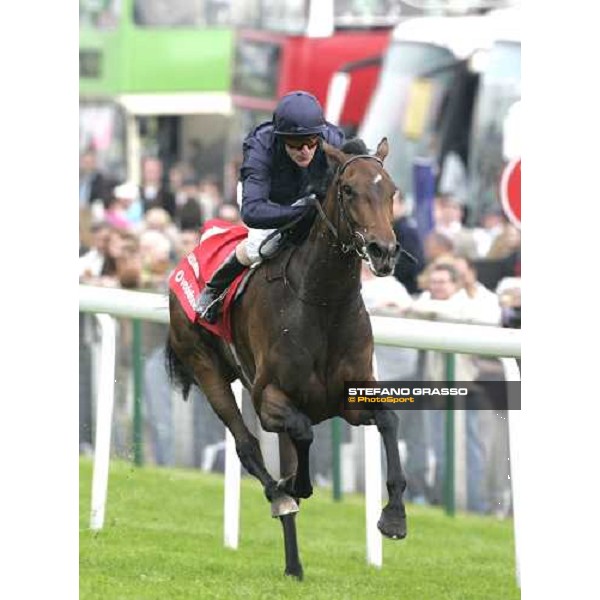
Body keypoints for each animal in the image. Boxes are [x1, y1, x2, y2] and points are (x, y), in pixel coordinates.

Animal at [166, 138, 406, 580]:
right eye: (349, 190)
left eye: (392, 190)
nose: (383, 251)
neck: (323, 302)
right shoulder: (270, 399)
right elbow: (302, 435)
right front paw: (295, 486)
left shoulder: (351, 399)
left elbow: (389, 420)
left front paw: (394, 517)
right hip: (205, 367)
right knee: (246, 446)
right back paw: (280, 496)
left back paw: (294, 565)